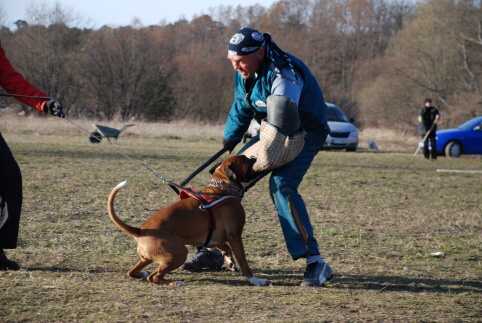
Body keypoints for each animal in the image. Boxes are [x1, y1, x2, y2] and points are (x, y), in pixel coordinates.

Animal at [106, 156, 268, 288]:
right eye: (245, 160)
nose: (253, 157)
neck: (223, 188)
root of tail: (141, 230)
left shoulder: (212, 238)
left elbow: (226, 247)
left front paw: (230, 262)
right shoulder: (235, 236)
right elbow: (243, 261)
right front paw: (254, 280)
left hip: (147, 258)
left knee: (132, 272)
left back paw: (143, 274)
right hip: (178, 254)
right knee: (154, 277)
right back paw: (175, 283)